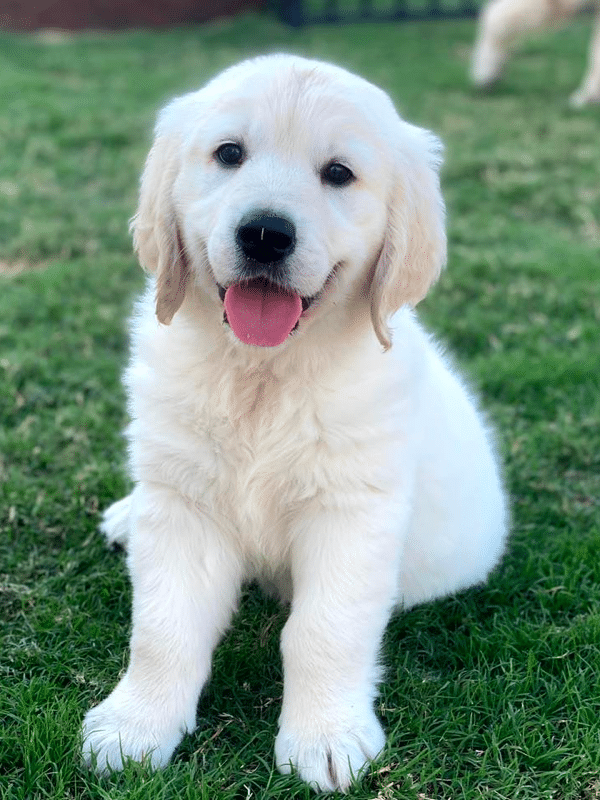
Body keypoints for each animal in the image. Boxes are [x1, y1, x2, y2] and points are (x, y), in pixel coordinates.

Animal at [82, 54, 508, 792]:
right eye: (229, 154)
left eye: (338, 173)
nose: (264, 233)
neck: (264, 374)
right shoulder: (185, 507)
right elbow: (163, 629)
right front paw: (134, 726)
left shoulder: (351, 515)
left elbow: (323, 631)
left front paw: (326, 738)